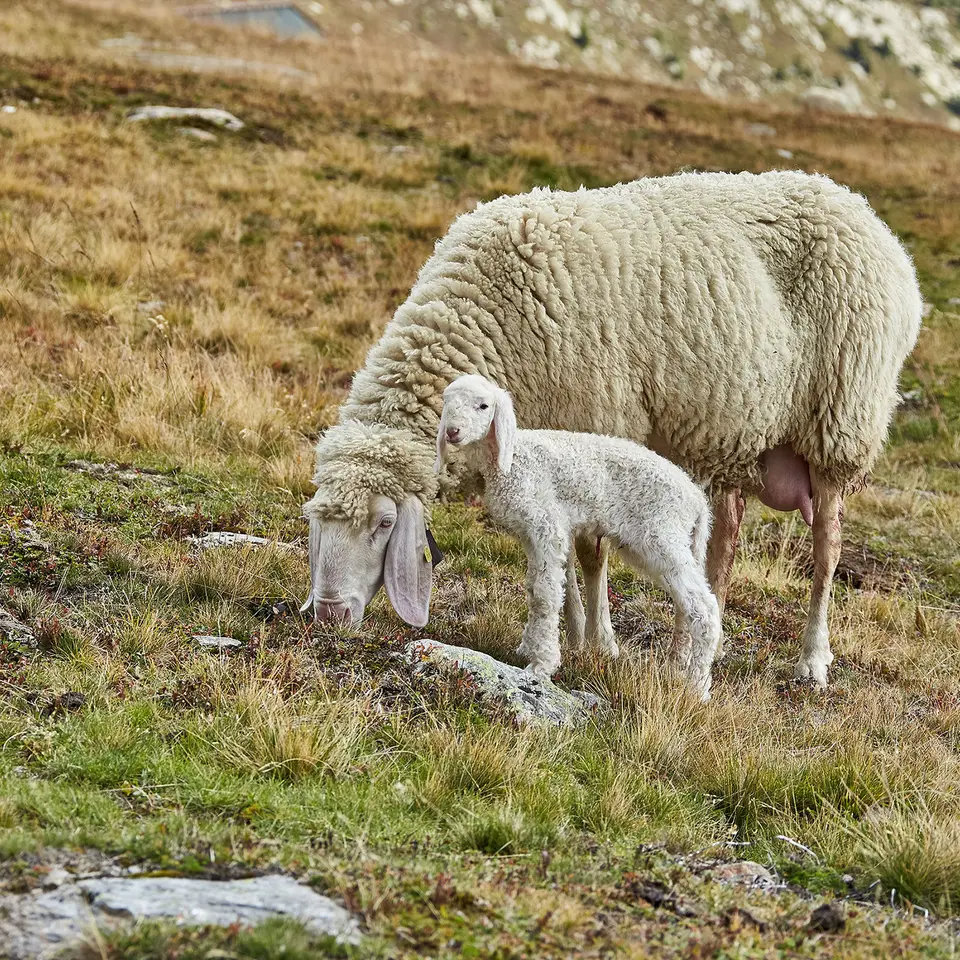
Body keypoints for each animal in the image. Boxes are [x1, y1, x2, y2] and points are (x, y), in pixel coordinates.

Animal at [436, 374, 720, 696]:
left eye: (483, 406)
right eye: (447, 402)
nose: (452, 432)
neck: (514, 459)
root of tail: (697, 501)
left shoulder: (547, 526)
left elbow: (545, 595)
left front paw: (542, 664)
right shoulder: (529, 535)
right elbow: (533, 589)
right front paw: (527, 647)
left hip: (662, 535)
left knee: (705, 608)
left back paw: (697, 688)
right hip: (675, 544)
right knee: (687, 606)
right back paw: (682, 671)